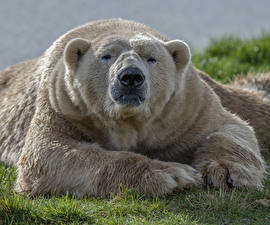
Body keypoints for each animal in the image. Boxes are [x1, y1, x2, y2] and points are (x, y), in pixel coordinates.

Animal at [0, 18, 266, 196]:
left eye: (151, 58)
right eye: (106, 56)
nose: (130, 77)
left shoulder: (187, 106)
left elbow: (230, 127)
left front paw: (225, 172)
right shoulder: (63, 104)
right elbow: (50, 153)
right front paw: (174, 174)